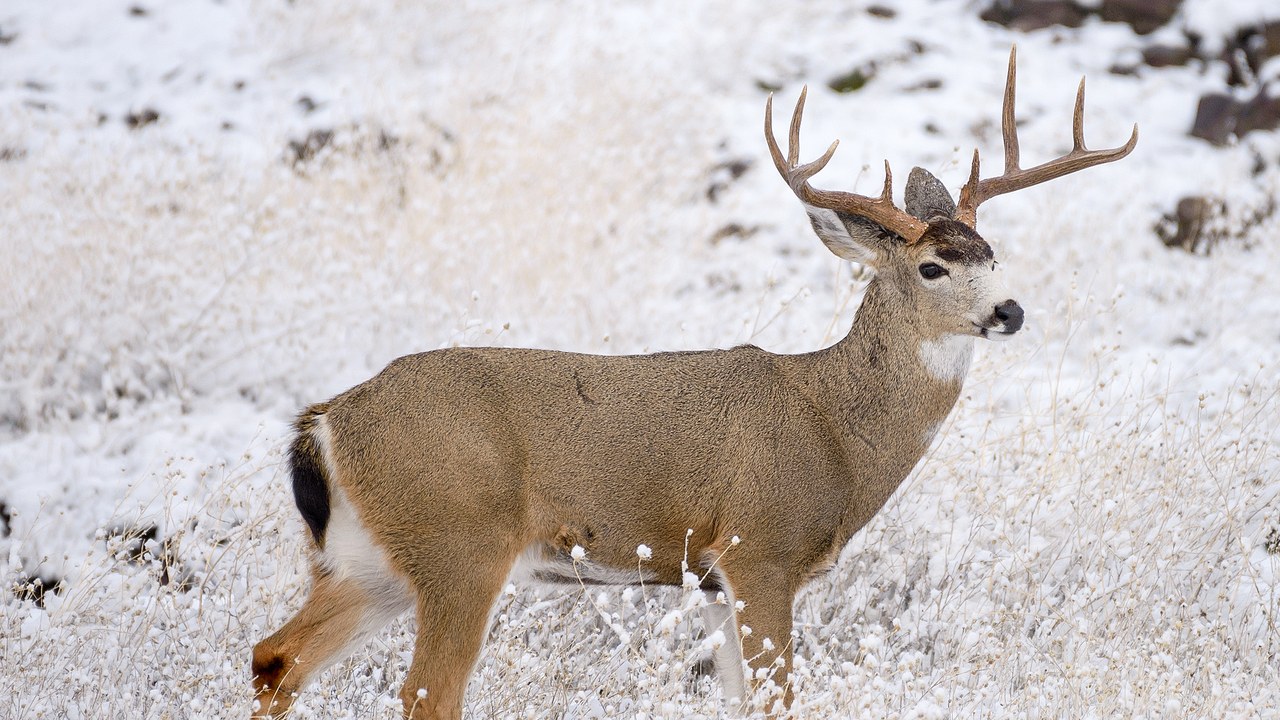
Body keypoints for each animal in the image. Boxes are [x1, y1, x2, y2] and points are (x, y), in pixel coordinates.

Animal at [251, 47, 1136, 719]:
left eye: (992, 255)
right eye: (932, 267)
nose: (1010, 311)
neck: (836, 432)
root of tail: (326, 421)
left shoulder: (712, 579)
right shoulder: (760, 547)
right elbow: (778, 702)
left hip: (368, 560)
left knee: (274, 656)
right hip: (460, 543)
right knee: (425, 693)